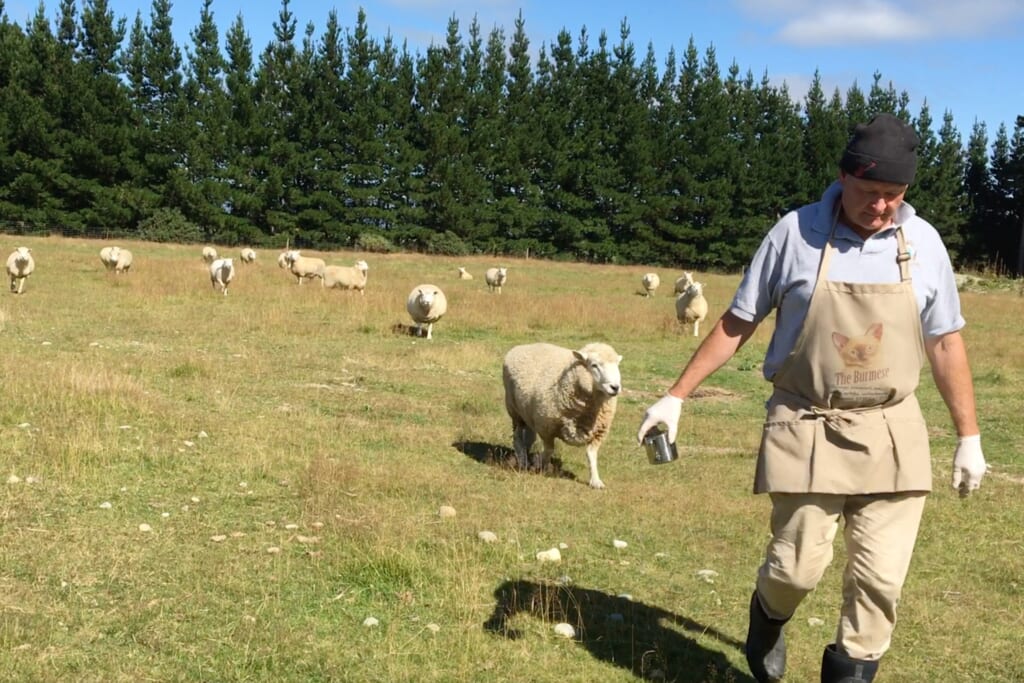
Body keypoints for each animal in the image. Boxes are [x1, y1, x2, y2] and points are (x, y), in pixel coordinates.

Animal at [503, 344, 622, 489]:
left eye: (617, 365)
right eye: (594, 365)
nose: (615, 387)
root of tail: (521, 346)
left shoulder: (598, 432)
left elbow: (591, 455)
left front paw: (595, 480)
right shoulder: (546, 427)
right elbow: (549, 450)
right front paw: (540, 466)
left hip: (527, 414)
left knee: (529, 437)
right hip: (514, 410)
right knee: (517, 436)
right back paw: (522, 460)